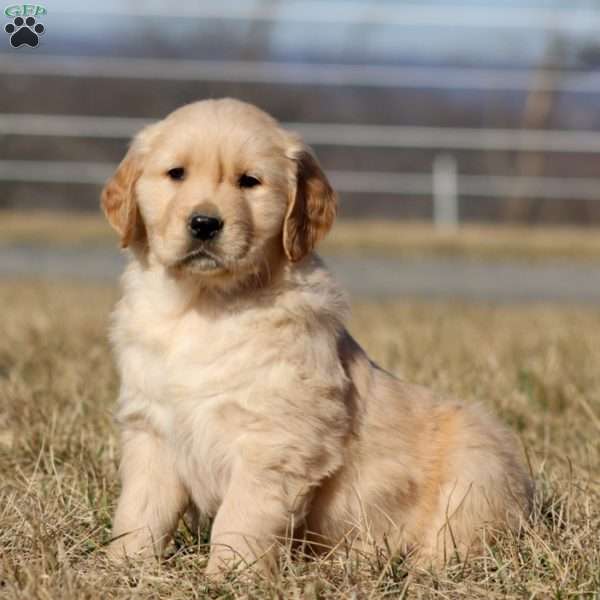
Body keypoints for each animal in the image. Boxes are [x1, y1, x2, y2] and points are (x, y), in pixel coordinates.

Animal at [101, 99, 532, 576]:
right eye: (176, 173)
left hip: (479, 462)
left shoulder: (274, 441)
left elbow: (240, 517)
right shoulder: (152, 430)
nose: (204, 223)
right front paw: (121, 567)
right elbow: (139, 511)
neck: (203, 305)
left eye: (249, 181)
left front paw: (228, 576)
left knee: (457, 536)